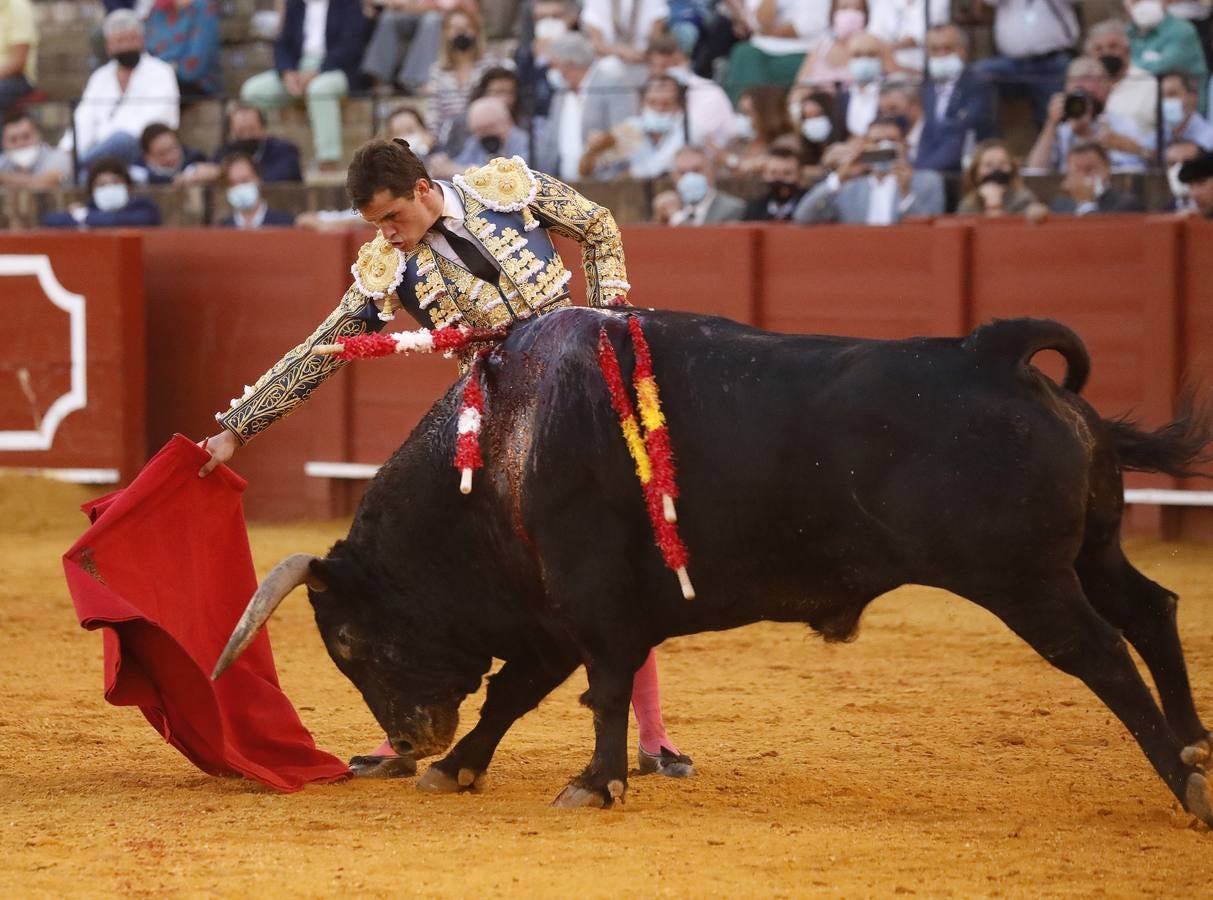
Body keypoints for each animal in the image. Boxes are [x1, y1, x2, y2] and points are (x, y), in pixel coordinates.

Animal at [213, 312, 1208, 824]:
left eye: (349, 640)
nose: (409, 737)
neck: (498, 450)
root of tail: (993, 355)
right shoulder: (549, 618)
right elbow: (513, 695)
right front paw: (457, 768)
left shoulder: (590, 605)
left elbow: (601, 690)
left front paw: (593, 782)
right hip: (1091, 550)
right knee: (1152, 609)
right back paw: (1197, 747)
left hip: (1023, 580)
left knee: (1102, 655)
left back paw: (1188, 786)